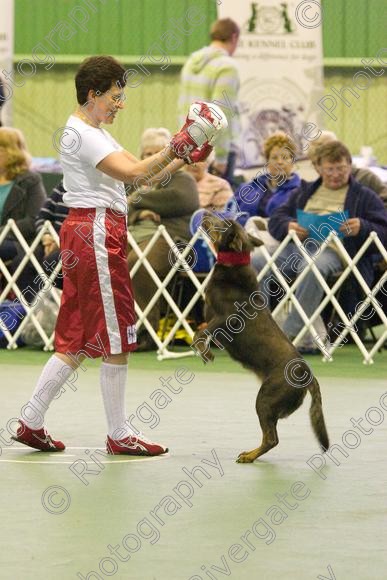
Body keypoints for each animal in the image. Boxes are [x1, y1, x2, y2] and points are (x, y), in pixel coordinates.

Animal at [192, 215, 330, 464]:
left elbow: (201, 333)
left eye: (221, 222)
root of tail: (309, 376)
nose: (206, 213)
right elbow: (201, 332)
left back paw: (249, 456)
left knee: (271, 438)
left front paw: (205, 352)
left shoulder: (225, 319)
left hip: (265, 399)